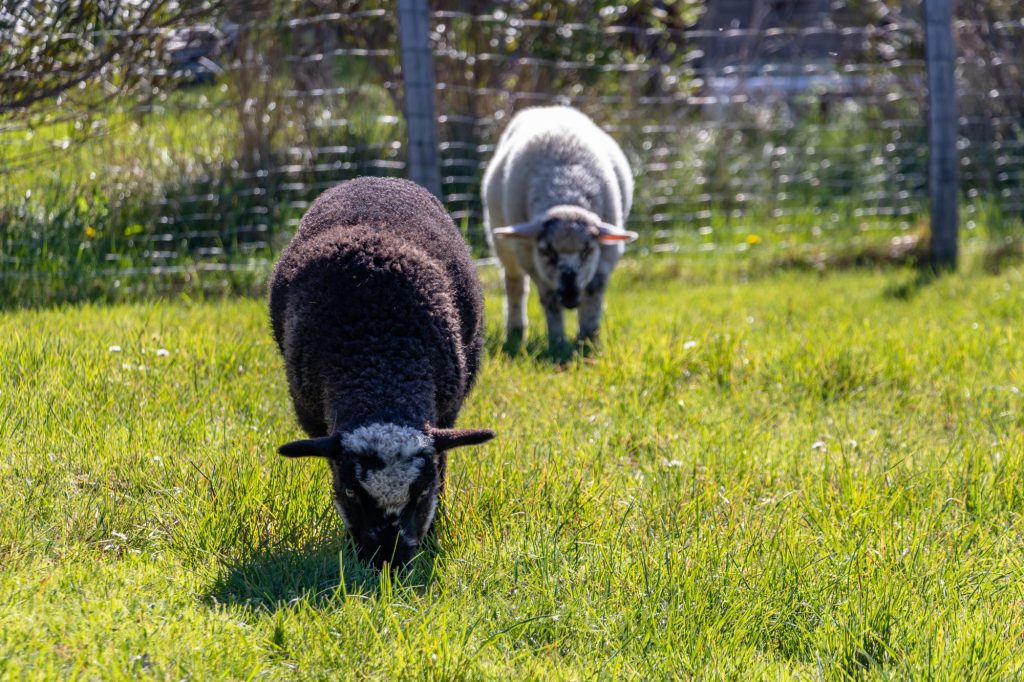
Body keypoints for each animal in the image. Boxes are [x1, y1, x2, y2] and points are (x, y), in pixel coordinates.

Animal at [269, 176, 495, 569]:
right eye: (350, 492)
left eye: (423, 491)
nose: (388, 561)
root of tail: (375, 178)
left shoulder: (446, 413)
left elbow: (443, 465)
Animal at [483, 105, 638, 354]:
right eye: (546, 251)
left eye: (587, 250)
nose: (570, 298)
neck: (566, 185)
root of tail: (547, 107)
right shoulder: (534, 260)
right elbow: (549, 299)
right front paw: (557, 342)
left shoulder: (606, 256)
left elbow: (593, 292)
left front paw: (588, 340)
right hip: (504, 245)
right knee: (515, 285)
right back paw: (516, 331)